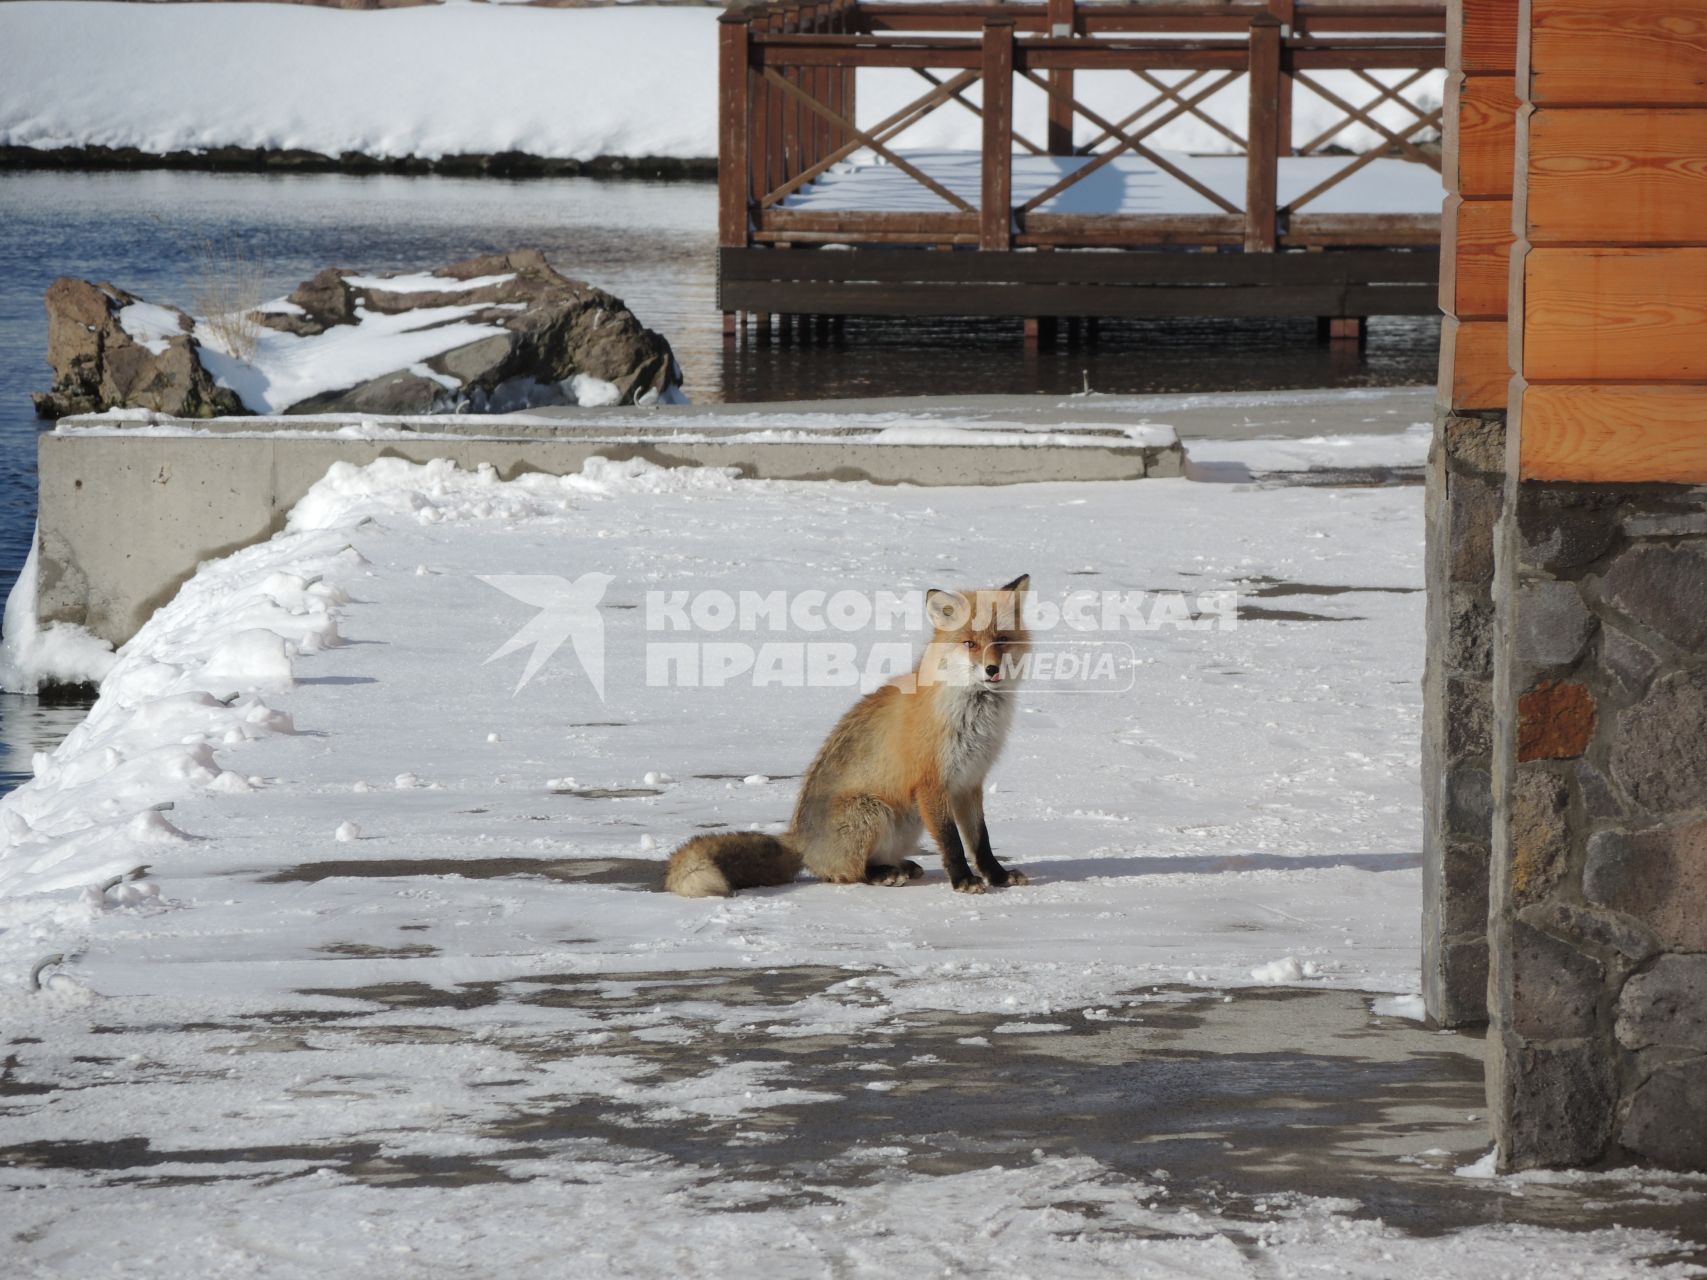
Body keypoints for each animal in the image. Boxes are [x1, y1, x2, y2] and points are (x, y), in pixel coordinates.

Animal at [662, 576, 1031, 894]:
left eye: (1002, 640)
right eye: (969, 643)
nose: (992, 669)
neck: (972, 714)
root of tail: (800, 840)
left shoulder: (969, 782)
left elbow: (980, 840)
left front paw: (997, 876)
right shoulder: (931, 783)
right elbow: (952, 841)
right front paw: (963, 881)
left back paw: (900, 866)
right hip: (873, 811)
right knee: (849, 873)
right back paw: (882, 874)